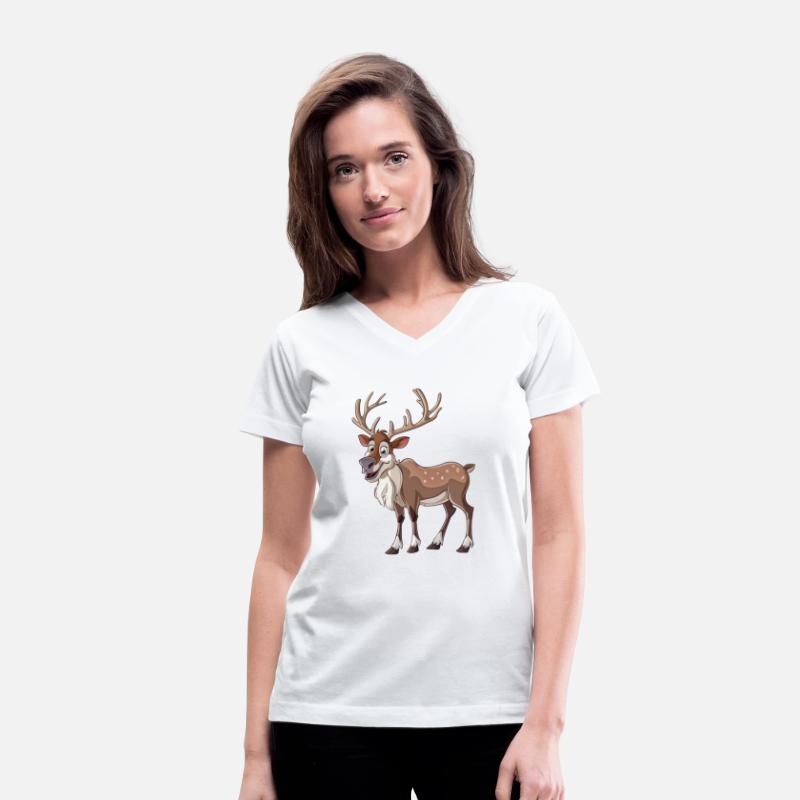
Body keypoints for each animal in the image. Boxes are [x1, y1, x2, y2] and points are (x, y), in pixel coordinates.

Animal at [352, 388, 476, 555]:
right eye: (370, 447)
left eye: (384, 450)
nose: (365, 463)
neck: (398, 485)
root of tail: (466, 468)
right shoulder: (397, 503)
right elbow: (399, 518)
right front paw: (393, 547)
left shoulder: (413, 496)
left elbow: (413, 517)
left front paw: (413, 546)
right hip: (446, 498)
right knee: (451, 511)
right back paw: (435, 543)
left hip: (458, 493)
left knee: (469, 509)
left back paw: (465, 545)